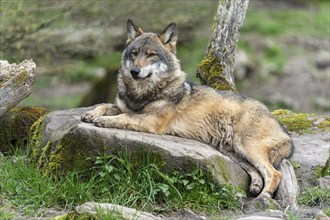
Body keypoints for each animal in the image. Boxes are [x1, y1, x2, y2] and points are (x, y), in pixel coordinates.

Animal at [82, 19, 294, 202]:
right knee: (256, 171)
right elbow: (105, 106)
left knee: (275, 173)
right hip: (231, 151)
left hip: (246, 146)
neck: (142, 94)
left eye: (151, 55)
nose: (135, 71)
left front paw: (104, 121)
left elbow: (125, 116)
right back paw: (256, 187)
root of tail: (285, 131)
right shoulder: (122, 105)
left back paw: (264, 196)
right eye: (134, 53)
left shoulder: (153, 121)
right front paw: (91, 114)